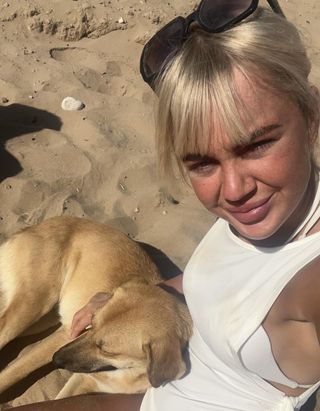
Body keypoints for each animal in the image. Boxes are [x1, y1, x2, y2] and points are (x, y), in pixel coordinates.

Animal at [0, 217, 191, 400]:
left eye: (106, 350)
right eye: (91, 322)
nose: (56, 358)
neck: (125, 371)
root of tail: (34, 227)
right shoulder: (67, 339)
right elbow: (14, 372)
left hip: (43, 320)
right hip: (32, 307)